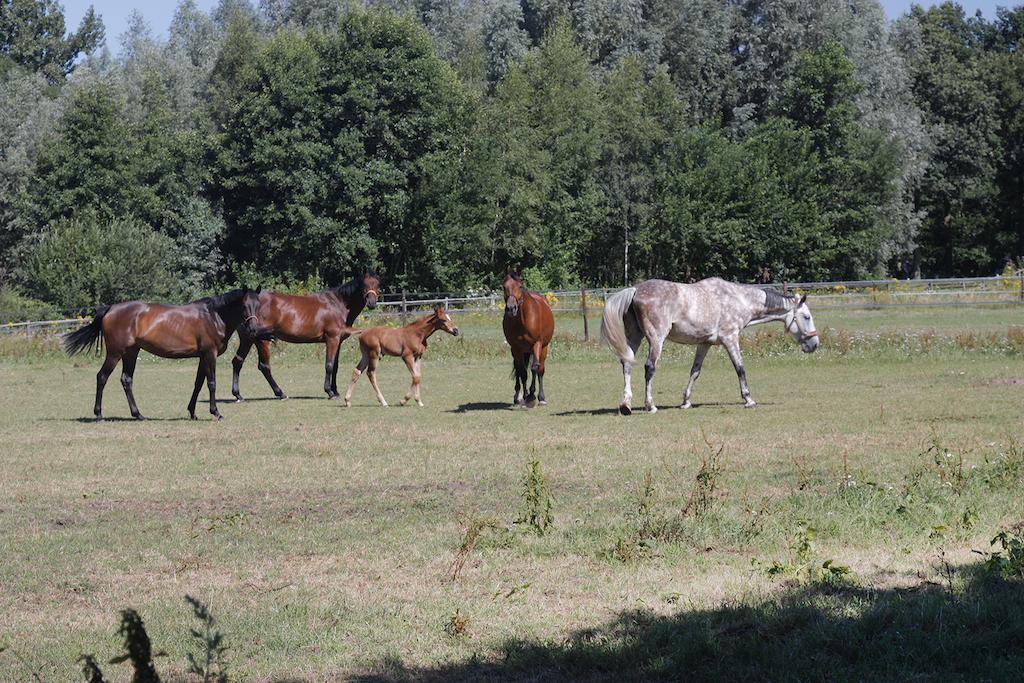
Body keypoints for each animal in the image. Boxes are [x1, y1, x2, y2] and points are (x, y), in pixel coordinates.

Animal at [62, 288, 272, 421]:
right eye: (244, 306)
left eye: (258, 305)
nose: (253, 329)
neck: (213, 316)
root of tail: (110, 309)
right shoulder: (209, 354)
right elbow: (211, 383)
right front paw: (216, 412)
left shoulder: (202, 356)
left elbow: (198, 384)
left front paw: (192, 412)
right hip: (115, 353)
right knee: (102, 377)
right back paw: (99, 415)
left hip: (131, 352)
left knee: (126, 380)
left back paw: (138, 415)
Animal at [230, 270, 382, 401]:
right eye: (364, 285)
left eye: (377, 284)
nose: (372, 303)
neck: (338, 304)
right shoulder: (332, 339)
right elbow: (329, 365)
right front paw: (330, 392)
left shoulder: (338, 341)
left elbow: (335, 366)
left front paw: (336, 391)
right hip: (262, 341)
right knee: (264, 366)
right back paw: (280, 393)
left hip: (248, 339)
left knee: (238, 361)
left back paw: (238, 395)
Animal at [501, 272, 557, 409]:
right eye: (504, 287)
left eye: (520, 286)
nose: (511, 308)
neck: (523, 320)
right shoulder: (516, 348)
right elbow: (522, 372)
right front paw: (525, 396)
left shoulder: (537, 344)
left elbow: (535, 368)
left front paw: (532, 396)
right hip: (520, 351)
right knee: (519, 368)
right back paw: (518, 397)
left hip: (542, 348)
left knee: (539, 369)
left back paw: (540, 397)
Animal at [598, 278, 819, 417]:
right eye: (807, 317)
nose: (814, 344)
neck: (739, 299)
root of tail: (635, 290)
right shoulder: (730, 339)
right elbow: (740, 369)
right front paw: (749, 399)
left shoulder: (704, 344)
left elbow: (695, 371)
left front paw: (686, 402)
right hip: (656, 339)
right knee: (649, 368)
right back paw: (649, 405)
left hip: (634, 337)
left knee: (627, 364)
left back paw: (626, 405)